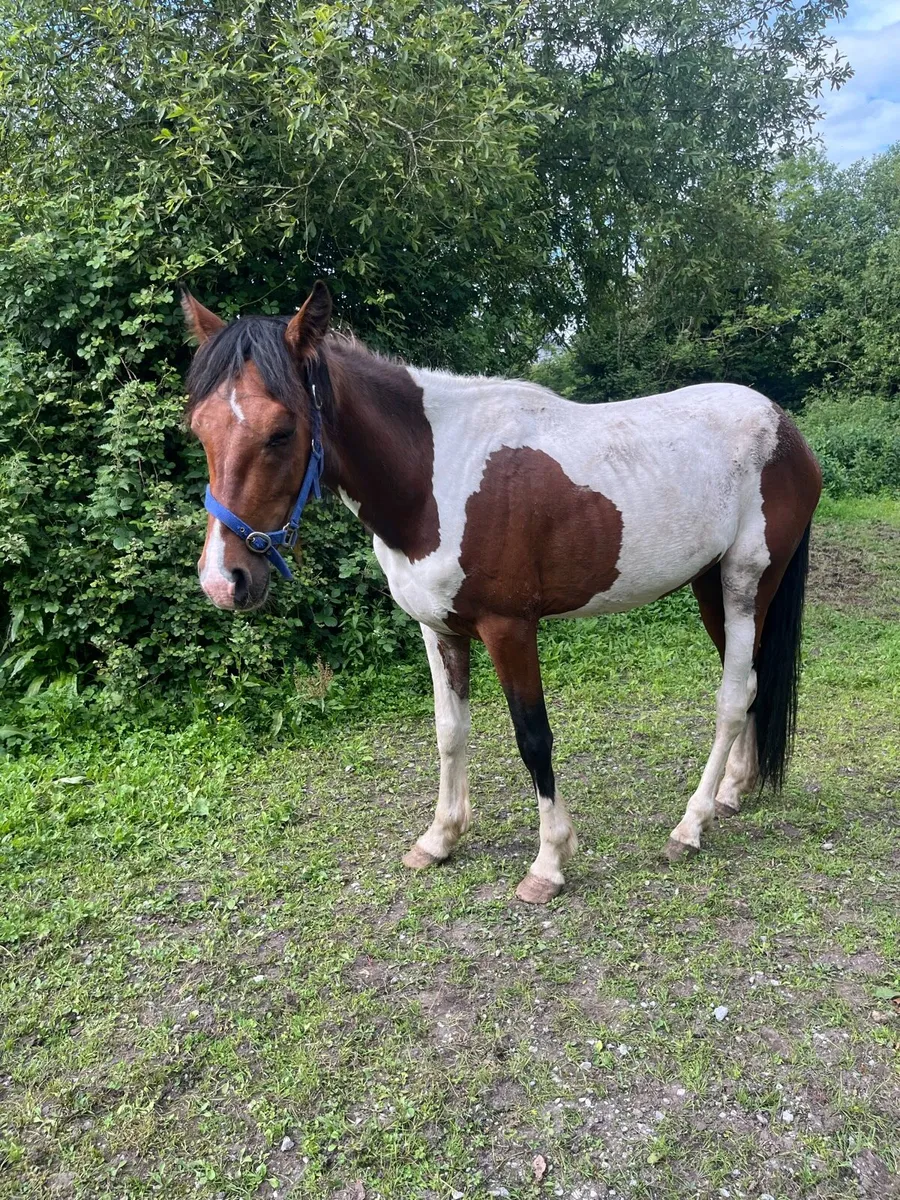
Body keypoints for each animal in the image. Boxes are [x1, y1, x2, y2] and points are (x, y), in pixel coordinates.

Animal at [181, 282, 822, 904]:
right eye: (200, 429)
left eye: (281, 431)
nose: (223, 580)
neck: (434, 478)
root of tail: (785, 428)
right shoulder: (438, 629)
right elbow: (449, 731)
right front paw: (440, 838)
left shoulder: (509, 628)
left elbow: (533, 737)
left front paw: (549, 863)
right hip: (711, 587)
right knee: (751, 683)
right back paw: (732, 792)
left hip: (745, 584)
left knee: (732, 696)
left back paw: (690, 826)